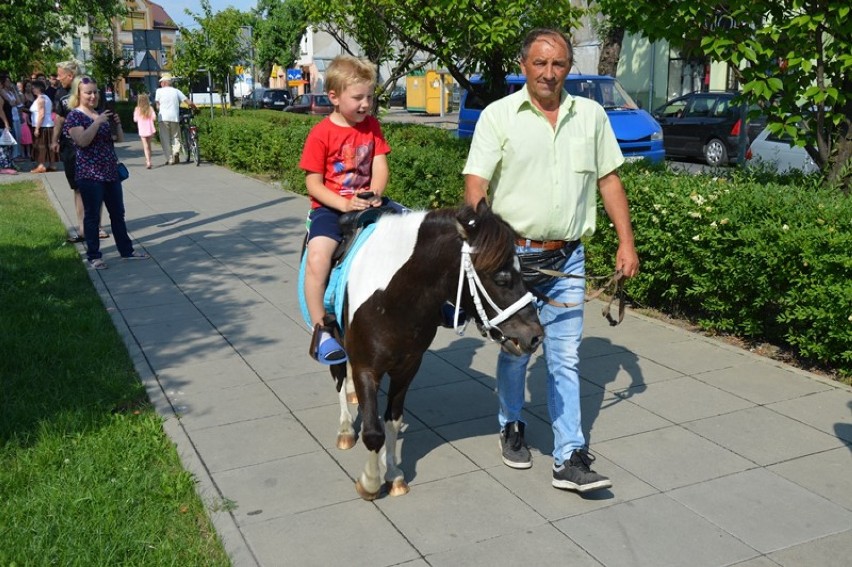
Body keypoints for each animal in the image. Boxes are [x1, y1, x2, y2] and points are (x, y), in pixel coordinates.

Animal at [322, 201, 544, 502]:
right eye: (501, 277)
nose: (534, 336)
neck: (391, 299)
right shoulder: (366, 367)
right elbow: (373, 432)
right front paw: (370, 482)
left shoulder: (408, 366)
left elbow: (392, 421)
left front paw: (393, 474)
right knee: (338, 373)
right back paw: (345, 428)